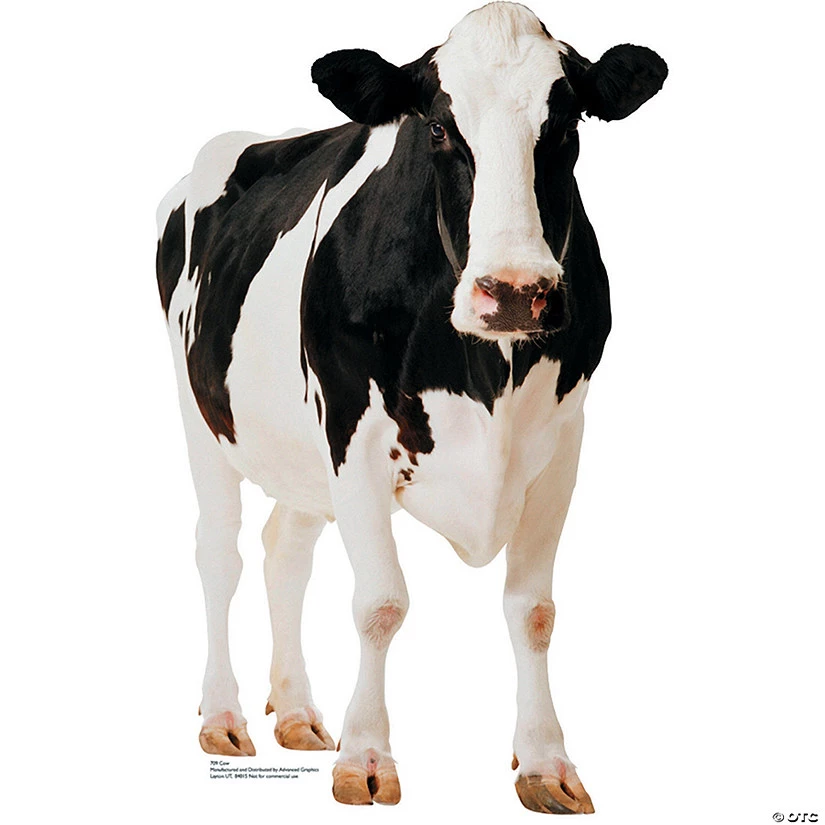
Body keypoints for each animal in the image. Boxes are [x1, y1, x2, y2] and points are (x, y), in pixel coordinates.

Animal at [156, 2, 666, 814]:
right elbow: (380, 603)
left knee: (284, 550)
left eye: (566, 125)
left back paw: (295, 711)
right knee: (218, 552)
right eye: (437, 128)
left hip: (299, 451)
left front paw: (545, 762)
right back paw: (222, 715)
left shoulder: (563, 442)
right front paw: (366, 757)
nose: (515, 290)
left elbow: (534, 609)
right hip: (200, 411)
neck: (485, 368)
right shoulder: (352, 435)